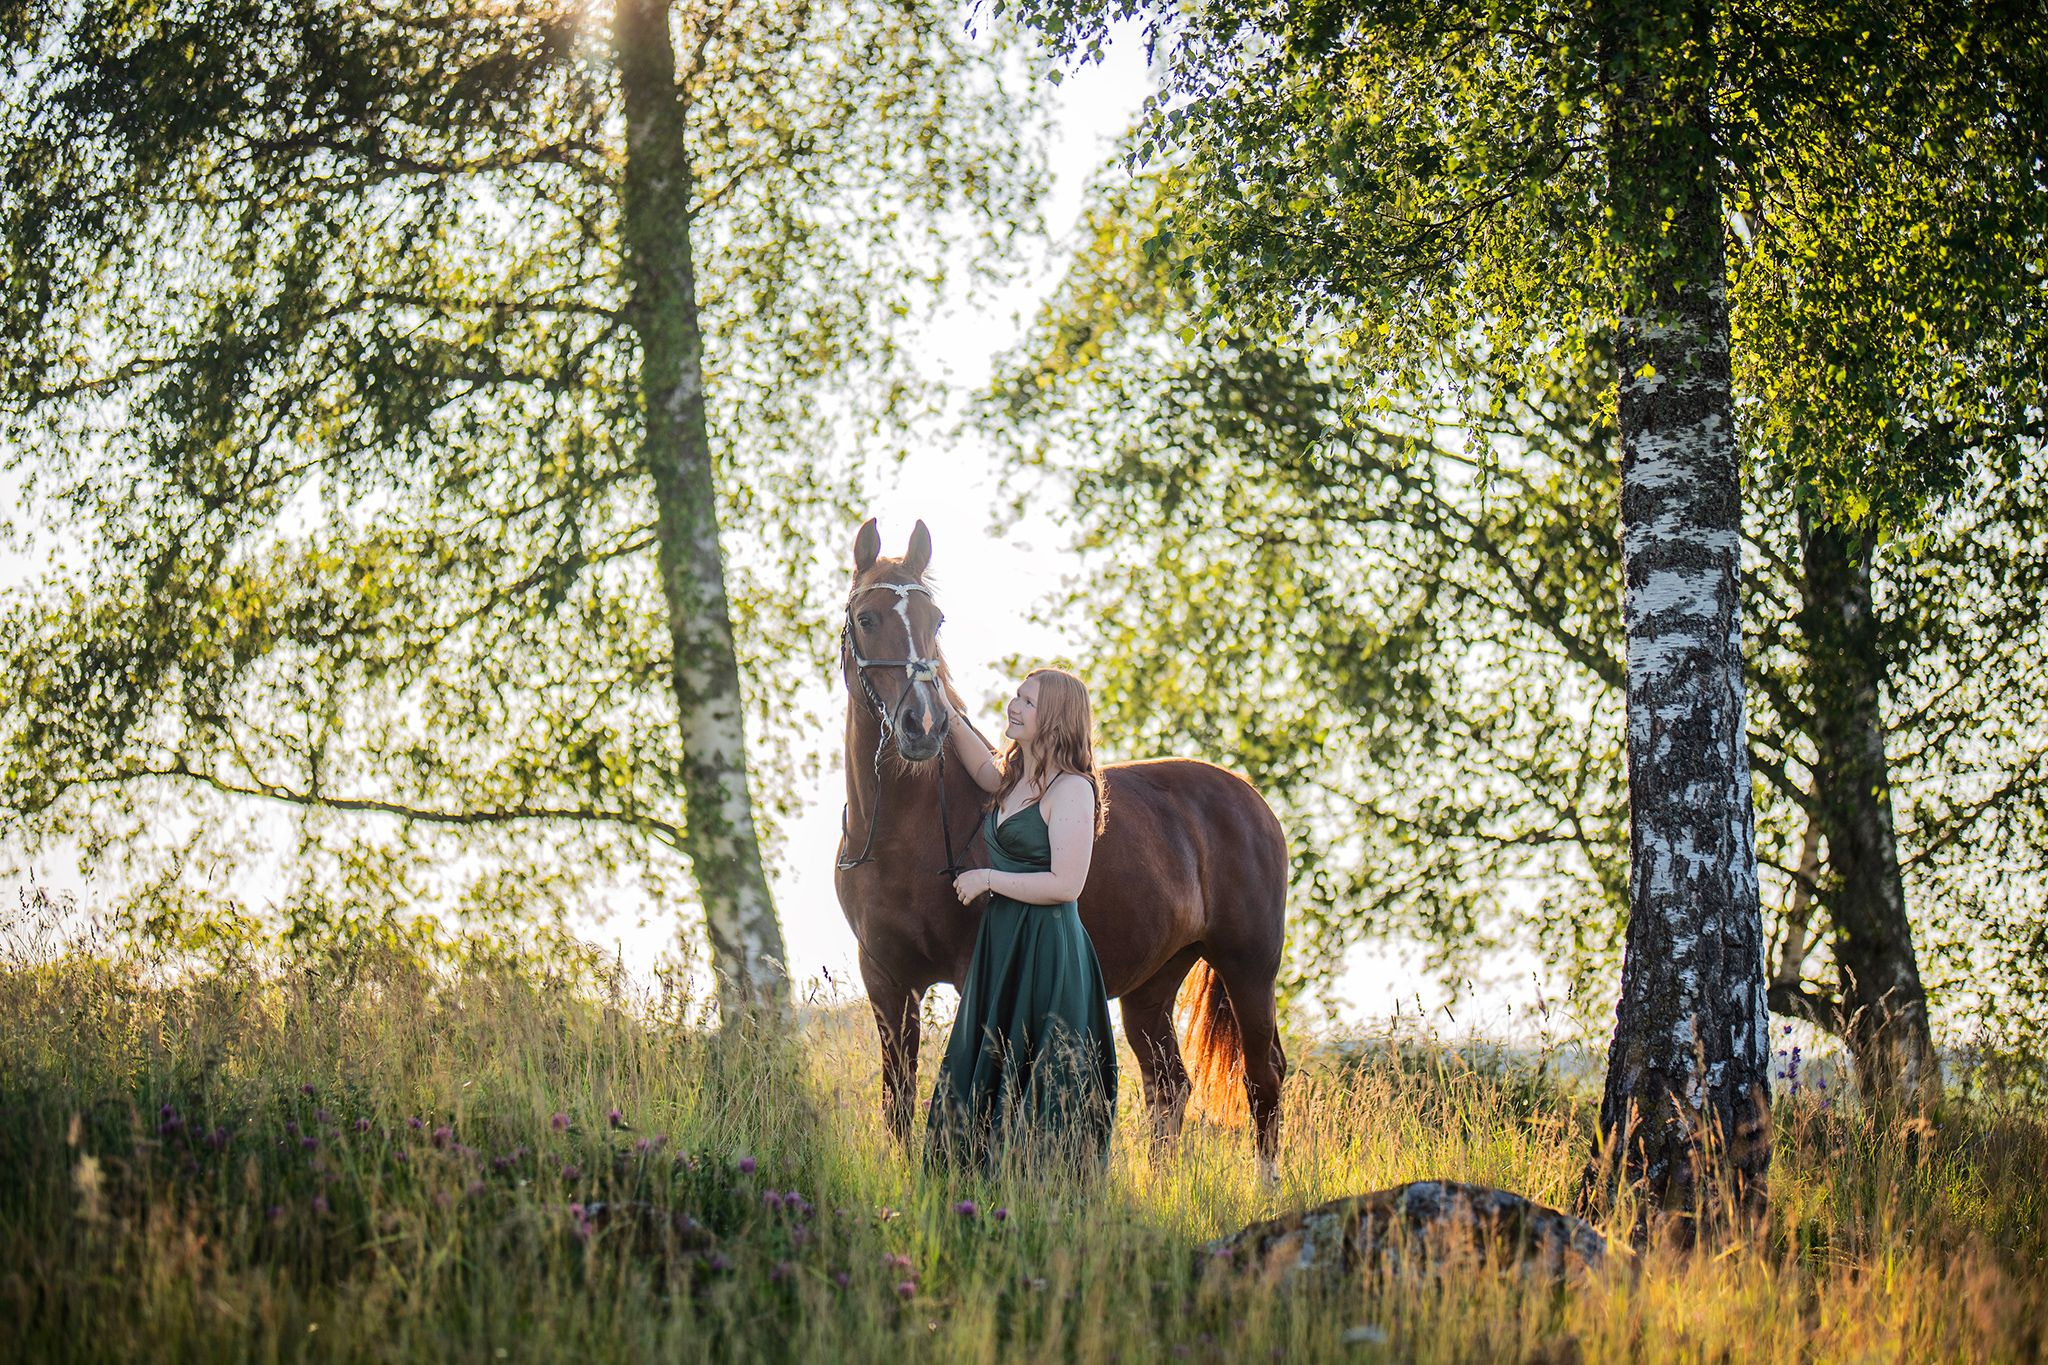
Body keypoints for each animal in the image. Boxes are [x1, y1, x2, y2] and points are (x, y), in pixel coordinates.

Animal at [831, 517, 1291, 1182]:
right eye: (867, 618)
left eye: (935, 619)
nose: (924, 726)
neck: (902, 834)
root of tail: (1252, 800)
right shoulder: (886, 980)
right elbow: (898, 1098)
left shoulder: (973, 968)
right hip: (1153, 987)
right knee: (1169, 1085)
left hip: (1248, 965)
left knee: (1264, 1077)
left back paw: (1268, 1188)